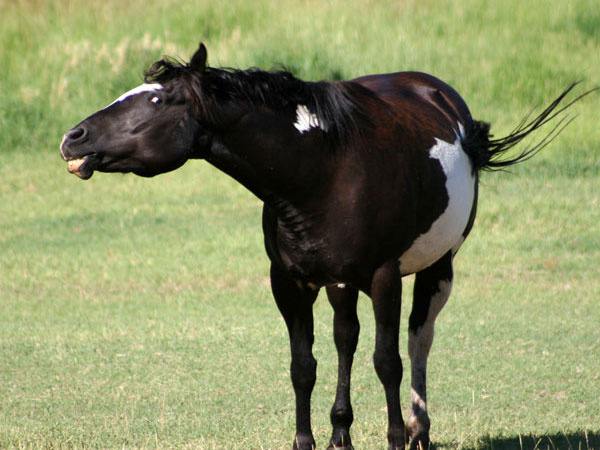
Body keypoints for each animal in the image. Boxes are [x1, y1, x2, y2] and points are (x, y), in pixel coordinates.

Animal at [59, 43, 592, 450]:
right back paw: (342, 433)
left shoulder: (383, 276)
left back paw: (418, 430)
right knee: (346, 339)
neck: (322, 170)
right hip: (340, 283)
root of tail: (437, 93)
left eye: (155, 101)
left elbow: (388, 361)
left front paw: (394, 438)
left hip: (437, 265)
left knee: (418, 338)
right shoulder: (290, 283)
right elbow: (305, 366)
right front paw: (309, 440)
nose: (73, 137)